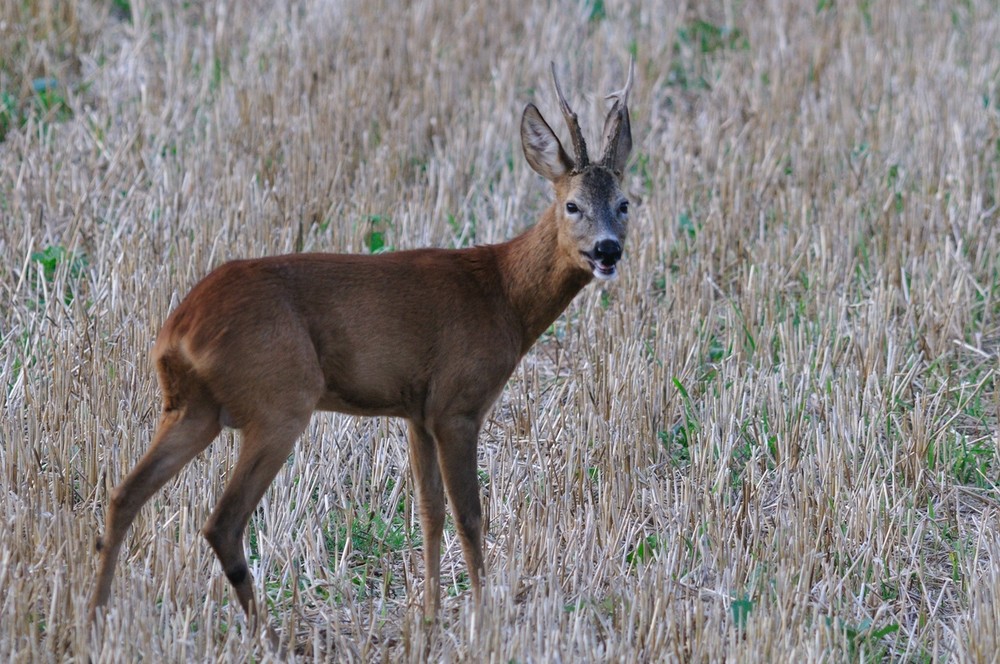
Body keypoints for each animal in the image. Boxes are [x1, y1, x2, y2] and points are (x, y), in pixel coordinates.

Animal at [88, 59, 632, 624]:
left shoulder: (418, 411)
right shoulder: (458, 404)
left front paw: (430, 614)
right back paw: (265, 632)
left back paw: (94, 618)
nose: (607, 250)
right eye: (572, 205)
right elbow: (471, 515)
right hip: (279, 400)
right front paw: (484, 618)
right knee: (222, 522)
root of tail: (177, 329)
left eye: (624, 204)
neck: (501, 295)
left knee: (122, 495)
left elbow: (430, 511)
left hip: (192, 407)